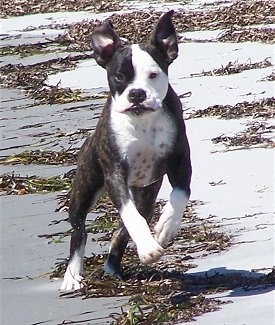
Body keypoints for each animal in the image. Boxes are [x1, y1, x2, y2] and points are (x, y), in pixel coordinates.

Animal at [61, 10, 193, 290]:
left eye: (153, 75)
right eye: (119, 77)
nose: (137, 94)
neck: (142, 123)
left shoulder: (181, 163)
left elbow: (179, 195)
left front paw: (166, 228)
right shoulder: (114, 175)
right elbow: (130, 215)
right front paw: (149, 247)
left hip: (146, 194)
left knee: (123, 230)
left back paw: (113, 266)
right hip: (84, 187)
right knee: (79, 230)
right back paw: (72, 276)